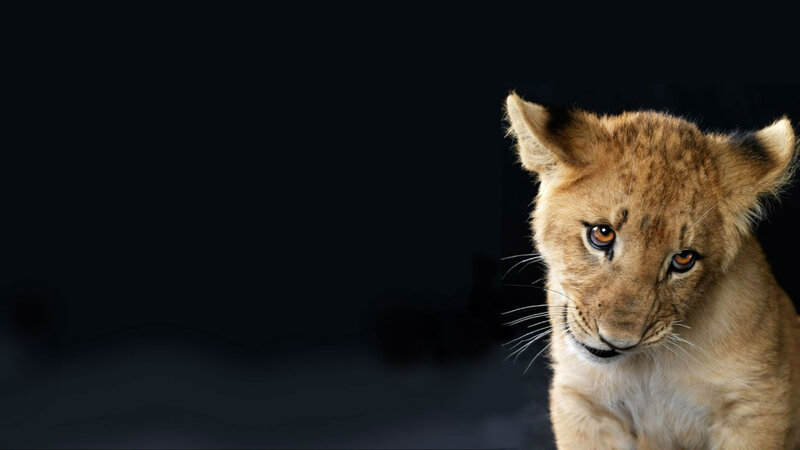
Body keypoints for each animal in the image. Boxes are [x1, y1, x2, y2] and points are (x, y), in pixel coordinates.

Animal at [505, 92, 800, 449]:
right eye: (601, 234)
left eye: (683, 259)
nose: (618, 342)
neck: (644, 367)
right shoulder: (583, 402)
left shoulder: (758, 403)